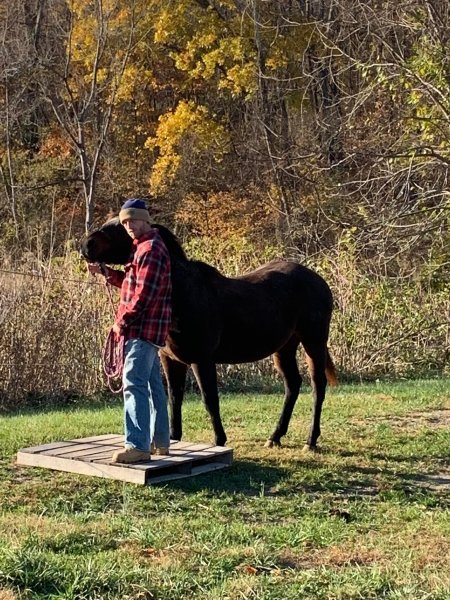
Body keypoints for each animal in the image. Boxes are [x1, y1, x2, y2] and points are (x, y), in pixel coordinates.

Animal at [81, 220, 336, 450]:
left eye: (120, 227)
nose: (86, 245)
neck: (181, 296)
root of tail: (319, 280)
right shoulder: (171, 360)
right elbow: (174, 397)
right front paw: (174, 438)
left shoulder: (201, 360)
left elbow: (210, 399)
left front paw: (219, 440)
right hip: (284, 348)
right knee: (292, 385)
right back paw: (275, 437)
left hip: (313, 342)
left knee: (318, 386)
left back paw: (311, 441)